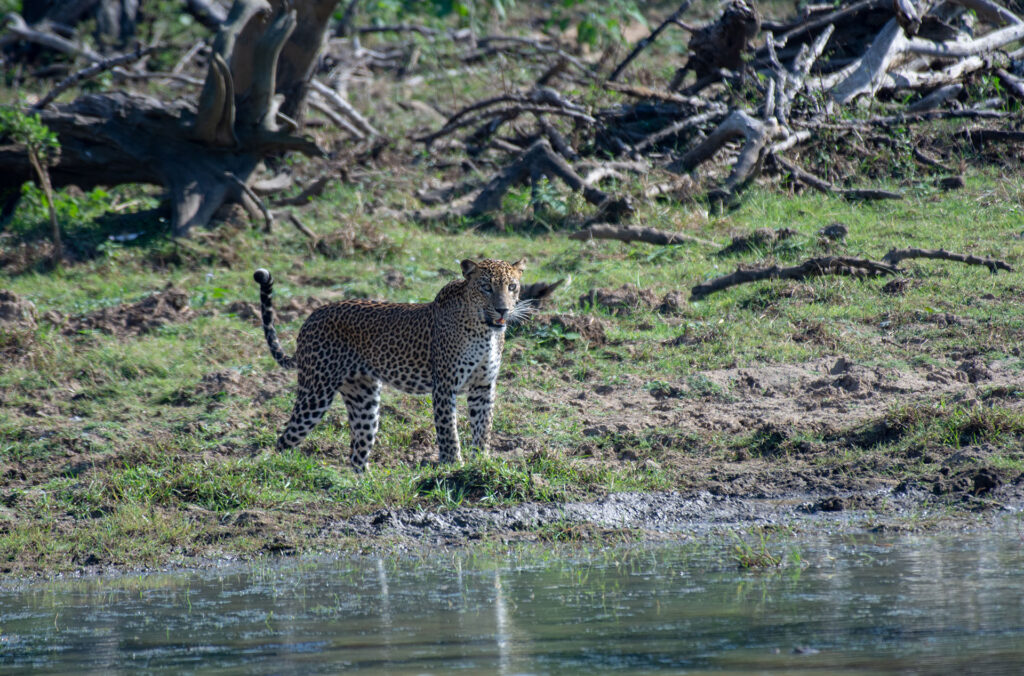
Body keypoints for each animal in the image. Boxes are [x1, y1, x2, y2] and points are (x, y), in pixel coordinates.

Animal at [252, 256, 528, 473]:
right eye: (486, 288)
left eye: (512, 286)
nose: (503, 310)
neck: (484, 331)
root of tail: (310, 318)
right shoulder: (444, 387)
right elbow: (449, 431)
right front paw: (454, 467)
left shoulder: (483, 386)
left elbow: (483, 428)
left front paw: (482, 462)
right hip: (315, 392)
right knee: (284, 440)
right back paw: (280, 473)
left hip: (363, 397)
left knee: (357, 453)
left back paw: (365, 486)